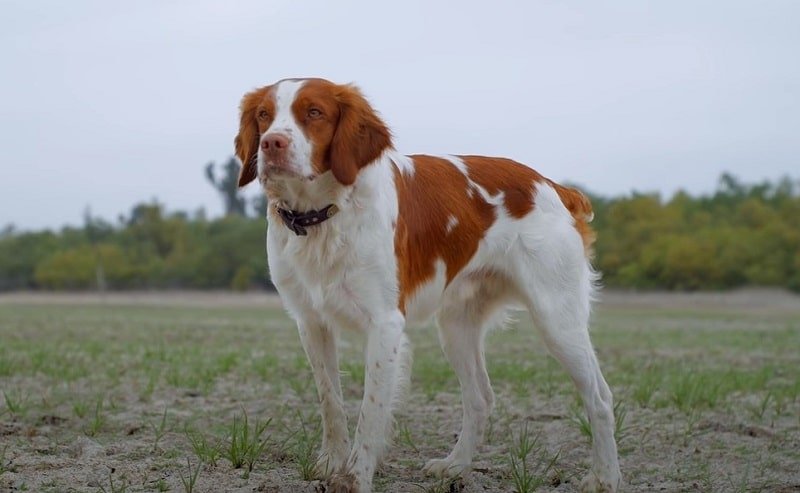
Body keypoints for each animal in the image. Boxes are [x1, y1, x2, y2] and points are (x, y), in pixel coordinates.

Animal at [234, 78, 620, 492]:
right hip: (456, 327)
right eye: (264, 115)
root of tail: (554, 187)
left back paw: (605, 477)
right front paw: (330, 463)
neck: (325, 214)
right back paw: (456, 466)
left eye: (314, 112)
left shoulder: (385, 323)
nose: (271, 144)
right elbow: (331, 400)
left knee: (600, 397)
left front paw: (355, 476)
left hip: (556, 318)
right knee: (480, 397)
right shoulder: (310, 321)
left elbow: (370, 412)